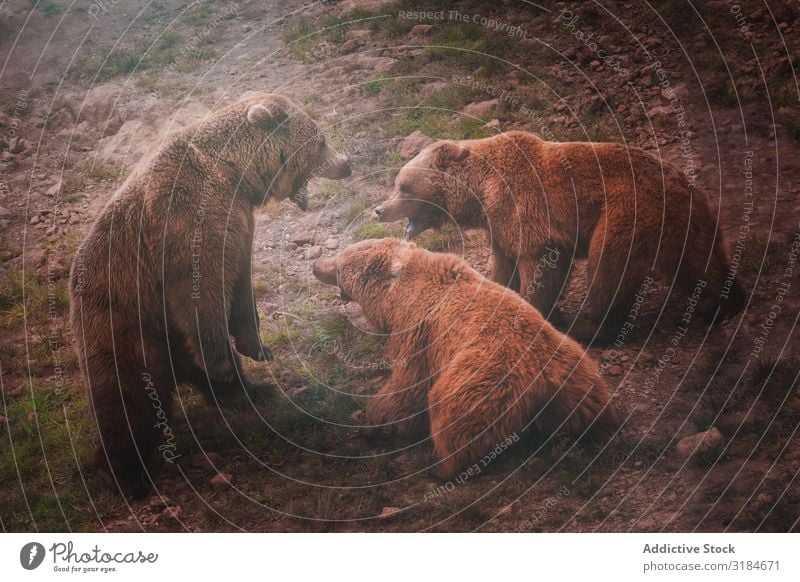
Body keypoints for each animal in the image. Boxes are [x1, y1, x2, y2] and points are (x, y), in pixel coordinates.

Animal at [70, 92, 352, 498]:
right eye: (320, 140)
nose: (347, 164)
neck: (234, 175)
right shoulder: (187, 218)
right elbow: (200, 290)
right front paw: (227, 359)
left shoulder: (239, 224)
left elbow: (240, 287)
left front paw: (257, 348)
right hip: (122, 322)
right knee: (129, 401)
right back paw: (126, 475)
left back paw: (249, 390)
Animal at [312, 240, 620, 482]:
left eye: (339, 265)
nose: (316, 265)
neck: (397, 296)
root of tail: (543, 379)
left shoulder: (419, 334)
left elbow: (407, 388)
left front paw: (371, 423)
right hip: (577, 373)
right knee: (590, 406)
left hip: (479, 382)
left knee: (451, 420)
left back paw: (440, 467)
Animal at [372, 132, 748, 342]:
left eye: (404, 186)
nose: (378, 209)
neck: (481, 193)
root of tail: (679, 183)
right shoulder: (501, 225)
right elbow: (504, 265)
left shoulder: (530, 211)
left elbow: (541, 264)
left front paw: (539, 310)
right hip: (687, 221)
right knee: (700, 261)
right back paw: (723, 304)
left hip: (624, 212)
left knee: (609, 268)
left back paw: (589, 328)